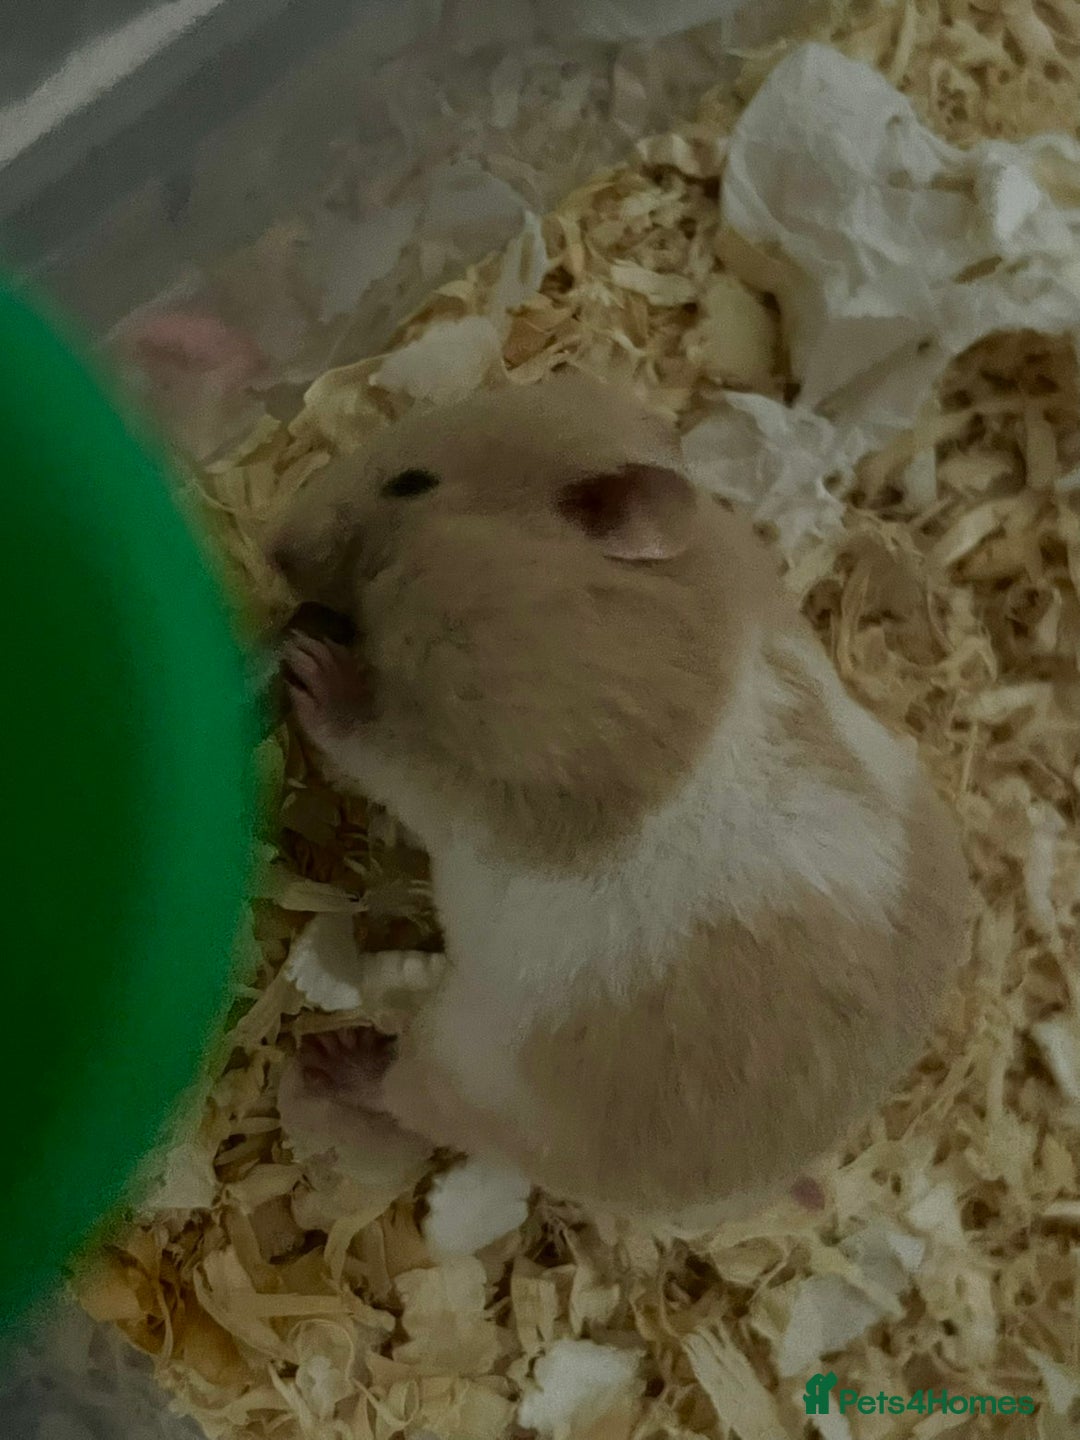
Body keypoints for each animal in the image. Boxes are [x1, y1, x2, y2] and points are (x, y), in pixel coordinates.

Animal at [269, 371, 970, 1228]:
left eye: (412, 484)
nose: (273, 548)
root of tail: (779, 1177)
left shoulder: (479, 771)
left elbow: (373, 739)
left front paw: (309, 665)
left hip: (472, 1065)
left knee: (409, 1096)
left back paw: (334, 1061)